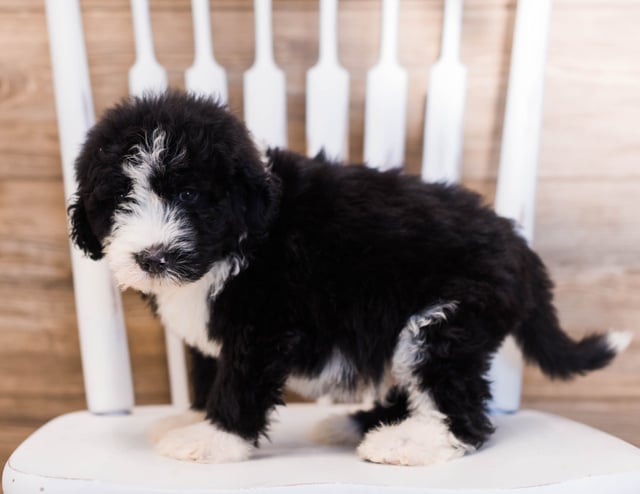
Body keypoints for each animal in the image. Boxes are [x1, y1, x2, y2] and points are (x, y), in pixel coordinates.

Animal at [67, 90, 628, 466]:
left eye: (187, 196)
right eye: (120, 200)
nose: (153, 257)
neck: (243, 237)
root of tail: (519, 245)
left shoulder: (265, 324)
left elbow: (241, 380)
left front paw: (214, 438)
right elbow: (208, 368)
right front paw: (194, 415)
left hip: (447, 317)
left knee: (461, 406)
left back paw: (408, 442)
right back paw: (356, 423)